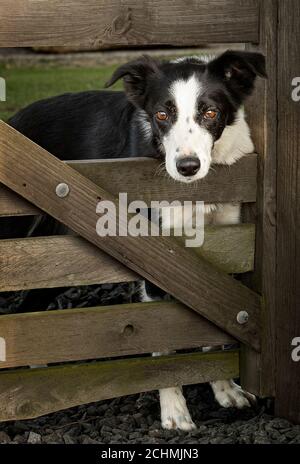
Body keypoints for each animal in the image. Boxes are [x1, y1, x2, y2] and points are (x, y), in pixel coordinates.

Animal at [8, 49, 266, 430]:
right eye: (161, 114)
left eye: (210, 112)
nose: (187, 167)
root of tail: (14, 119)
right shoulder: (157, 261)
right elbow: (163, 339)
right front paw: (174, 412)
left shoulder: (228, 249)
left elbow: (218, 332)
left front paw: (223, 389)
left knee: (29, 306)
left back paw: (36, 377)